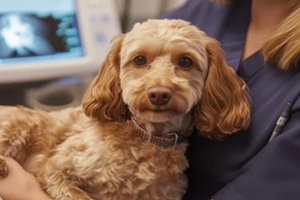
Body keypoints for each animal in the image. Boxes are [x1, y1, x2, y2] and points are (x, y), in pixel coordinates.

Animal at [0, 19, 250, 200]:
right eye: (139, 60)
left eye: (185, 62)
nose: (159, 93)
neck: (147, 139)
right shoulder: (56, 169)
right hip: (20, 124)